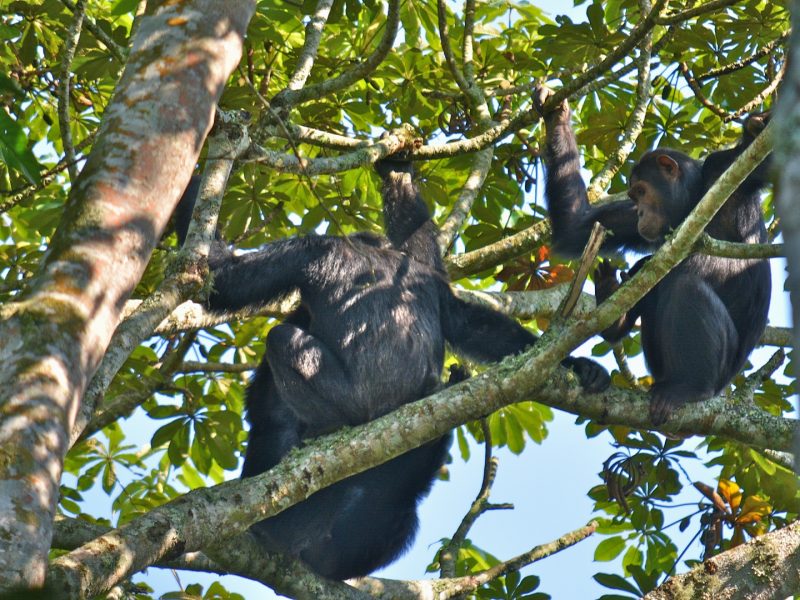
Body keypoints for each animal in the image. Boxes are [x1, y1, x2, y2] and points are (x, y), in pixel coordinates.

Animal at [177, 151, 608, 580]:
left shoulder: (308, 249)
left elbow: (225, 282)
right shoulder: (426, 278)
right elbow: (470, 321)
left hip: (351, 403)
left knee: (282, 340)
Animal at [536, 86, 772, 426]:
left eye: (642, 191)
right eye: (633, 197)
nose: (640, 212)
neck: (694, 198)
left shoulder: (725, 168)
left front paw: (756, 127)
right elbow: (576, 227)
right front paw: (556, 116)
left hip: (718, 378)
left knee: (684, 285)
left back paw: (689, 388)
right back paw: (614, 311)